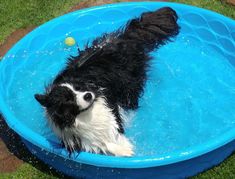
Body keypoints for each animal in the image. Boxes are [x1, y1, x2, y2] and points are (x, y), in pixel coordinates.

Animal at [34, 7, 178, 156]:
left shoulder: (111, 112)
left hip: (129, 85)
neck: (85, 115)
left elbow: (115, 132)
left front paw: (128, 149)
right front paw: (124, 150)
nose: (88, 95)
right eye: (68, 99)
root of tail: (124, 37)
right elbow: (104, 144)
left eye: (79, 87)